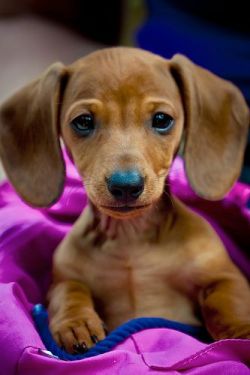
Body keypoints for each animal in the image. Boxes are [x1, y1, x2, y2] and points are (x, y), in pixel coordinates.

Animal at [0, 47, 250, 356]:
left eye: (161, 120)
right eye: (83, 122)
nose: (126, 186)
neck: (131, 238)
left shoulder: (225, 276)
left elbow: (228, 300)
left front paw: (241, 332)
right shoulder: (64, 277)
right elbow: (67, 290)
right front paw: (76, 322)